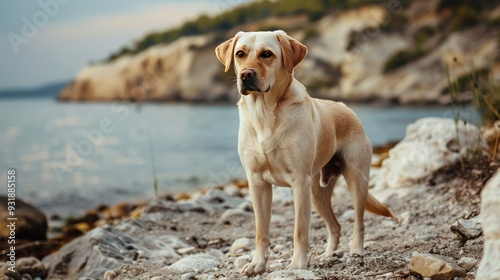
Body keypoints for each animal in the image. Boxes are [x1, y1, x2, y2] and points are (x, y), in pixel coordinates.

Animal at [213, 30, 392, 276]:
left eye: (267, 54)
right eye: (240, 54)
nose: (245, 74)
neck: (264, 113)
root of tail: (345, 106)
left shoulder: (299, 182)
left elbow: (299, 229)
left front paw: (297, 264)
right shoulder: (257, 183)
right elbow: (261, 230)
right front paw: (257, 264)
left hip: (356, 180)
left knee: (359, 221)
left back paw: (356, 251)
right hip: (317, 192)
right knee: (335, 226)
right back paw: (328, 255)